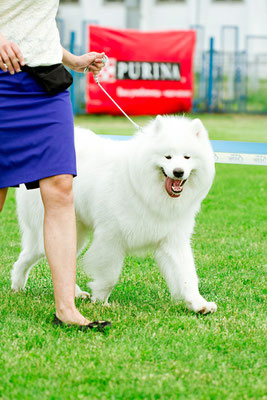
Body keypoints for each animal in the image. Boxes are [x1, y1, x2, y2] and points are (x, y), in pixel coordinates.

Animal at [12, 114, 218, 314]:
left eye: (187, 157)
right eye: (167, 157)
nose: (178, 172)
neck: (145, 191)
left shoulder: (173, 240)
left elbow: (187, 276)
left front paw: (199, 304)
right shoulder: (112, 238)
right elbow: (110, 276)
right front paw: (100, 302)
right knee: (30, 256)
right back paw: (17, 285)